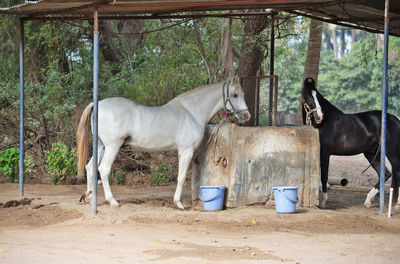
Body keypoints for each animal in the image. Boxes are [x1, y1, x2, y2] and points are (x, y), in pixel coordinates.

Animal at [76, 77, 248, 209]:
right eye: (235, 95)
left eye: (242, 94)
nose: (247, 116)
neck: (191, 112)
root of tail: (97, 104)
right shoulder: (186, 151)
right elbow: (181, 177)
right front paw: (179, 203)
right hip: (112, 146)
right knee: (103, 169)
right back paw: (112, 201)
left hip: (101, 146)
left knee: (90, 168)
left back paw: (90, 198)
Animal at [302, 77, 398, 209]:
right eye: (307, 96)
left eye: (318, 95)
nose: (319, 116)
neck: (324, 123)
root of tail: (395, 119)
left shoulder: (325, 153)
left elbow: (324, 175)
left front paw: (322, 202)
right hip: (372, 154)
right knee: (385, 173)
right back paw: (368, 200)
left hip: (391, 153)